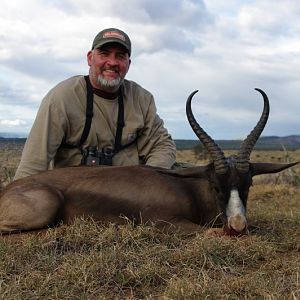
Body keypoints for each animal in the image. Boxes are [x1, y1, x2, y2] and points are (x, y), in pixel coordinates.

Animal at [0, 88, 296, 236]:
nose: (236, 225)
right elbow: (212, 232)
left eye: (248, 185)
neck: (187, 188)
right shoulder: (167, 223)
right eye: (215, 185)